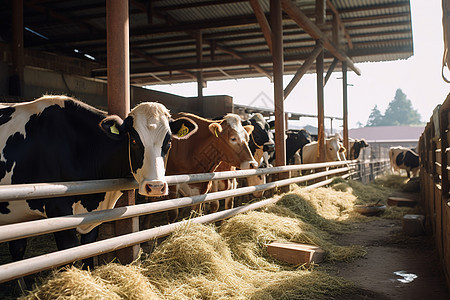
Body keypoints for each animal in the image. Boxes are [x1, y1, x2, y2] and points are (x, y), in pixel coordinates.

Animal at [0, 95, 196, 268]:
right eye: (133, 140)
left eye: (168, 142)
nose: (155, 187)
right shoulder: (58, 211)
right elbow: (68, 256)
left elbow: (89, 252)